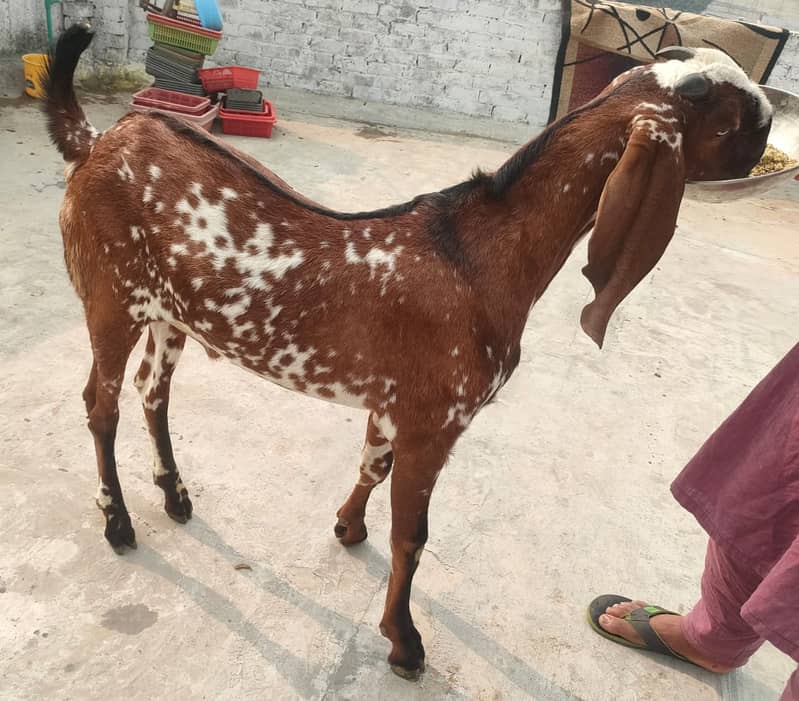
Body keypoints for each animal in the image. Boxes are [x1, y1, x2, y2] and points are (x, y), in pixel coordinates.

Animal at [45, 27, 776, 680]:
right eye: (720, 109)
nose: (771, 120)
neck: (480, 255)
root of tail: (96, 143)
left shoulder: (395, 401)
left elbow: (373, 462)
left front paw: (346, 527)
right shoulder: (437, 419)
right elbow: (413, 535)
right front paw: (402, 641)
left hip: (169, 314)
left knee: (153, 390)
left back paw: (174, 493)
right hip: (111, 298)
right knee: (100, 403)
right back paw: (117, 521)